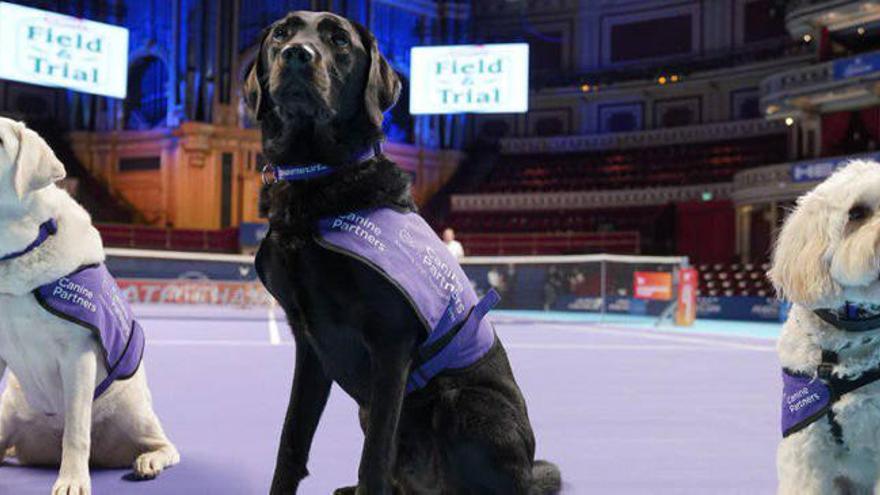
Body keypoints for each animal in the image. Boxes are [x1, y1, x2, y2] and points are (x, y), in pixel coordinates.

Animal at [0, 119, 179, 495]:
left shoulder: (77, 354)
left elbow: (77, 432)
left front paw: (71, 481)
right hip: (10, 411)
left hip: (133, 409)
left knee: (162, 444)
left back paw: (149, 461)